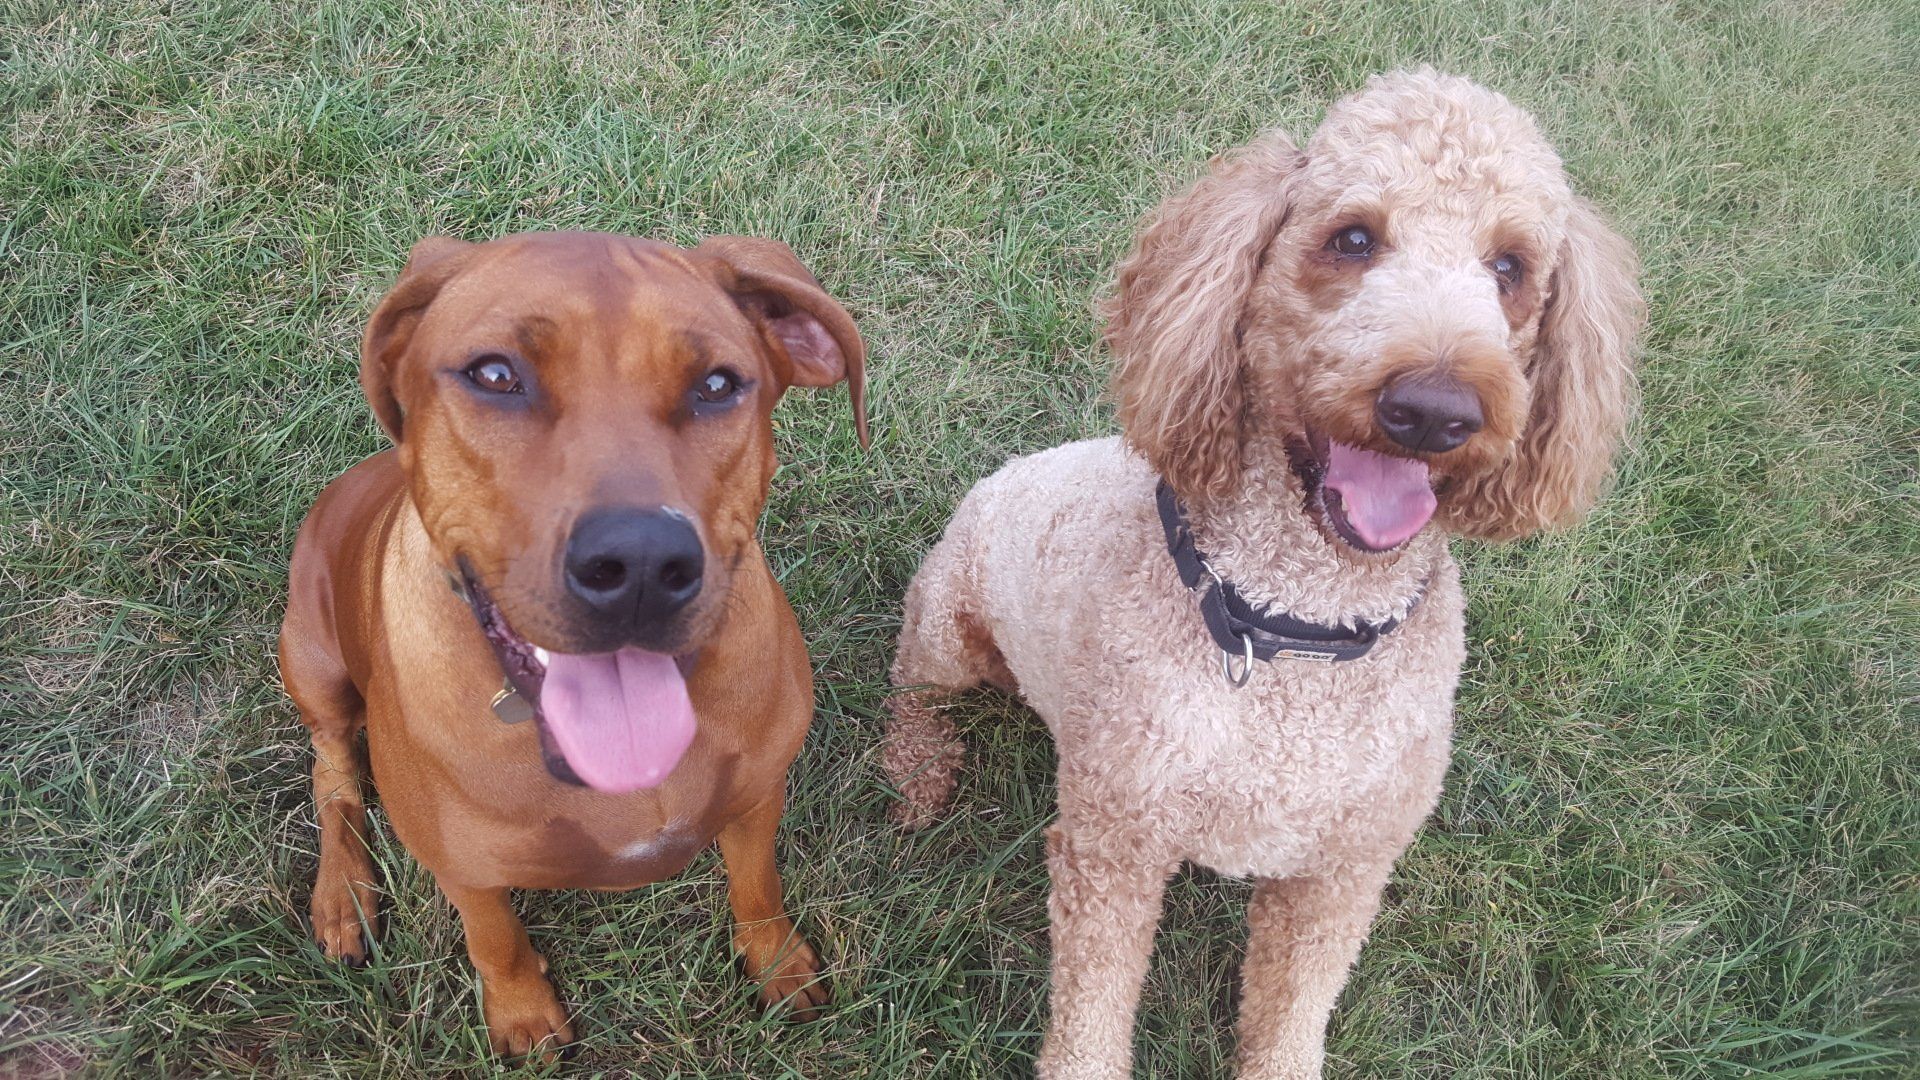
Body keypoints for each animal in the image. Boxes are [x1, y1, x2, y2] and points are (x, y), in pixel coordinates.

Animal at [278, 228, 864, 1053]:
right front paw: (522, 1011)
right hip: (313, 658)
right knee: (332, 772)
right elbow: (494, 939)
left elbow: (758, 887)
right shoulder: (465, 871)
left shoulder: (757, 801)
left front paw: (777, 962)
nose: (642, 564)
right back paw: (343, 893)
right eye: (495, 374)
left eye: (718, 385)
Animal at [879, 71, 1643, 1068]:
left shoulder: (1339, 875)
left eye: (1510, 267)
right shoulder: (1114, 843)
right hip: (950, 621)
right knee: (910, 686)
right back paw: (917, 775)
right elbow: (1093, 1006)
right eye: (1352, 238)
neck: (1297, 629)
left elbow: (1290, 1016)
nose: (1435, 409)